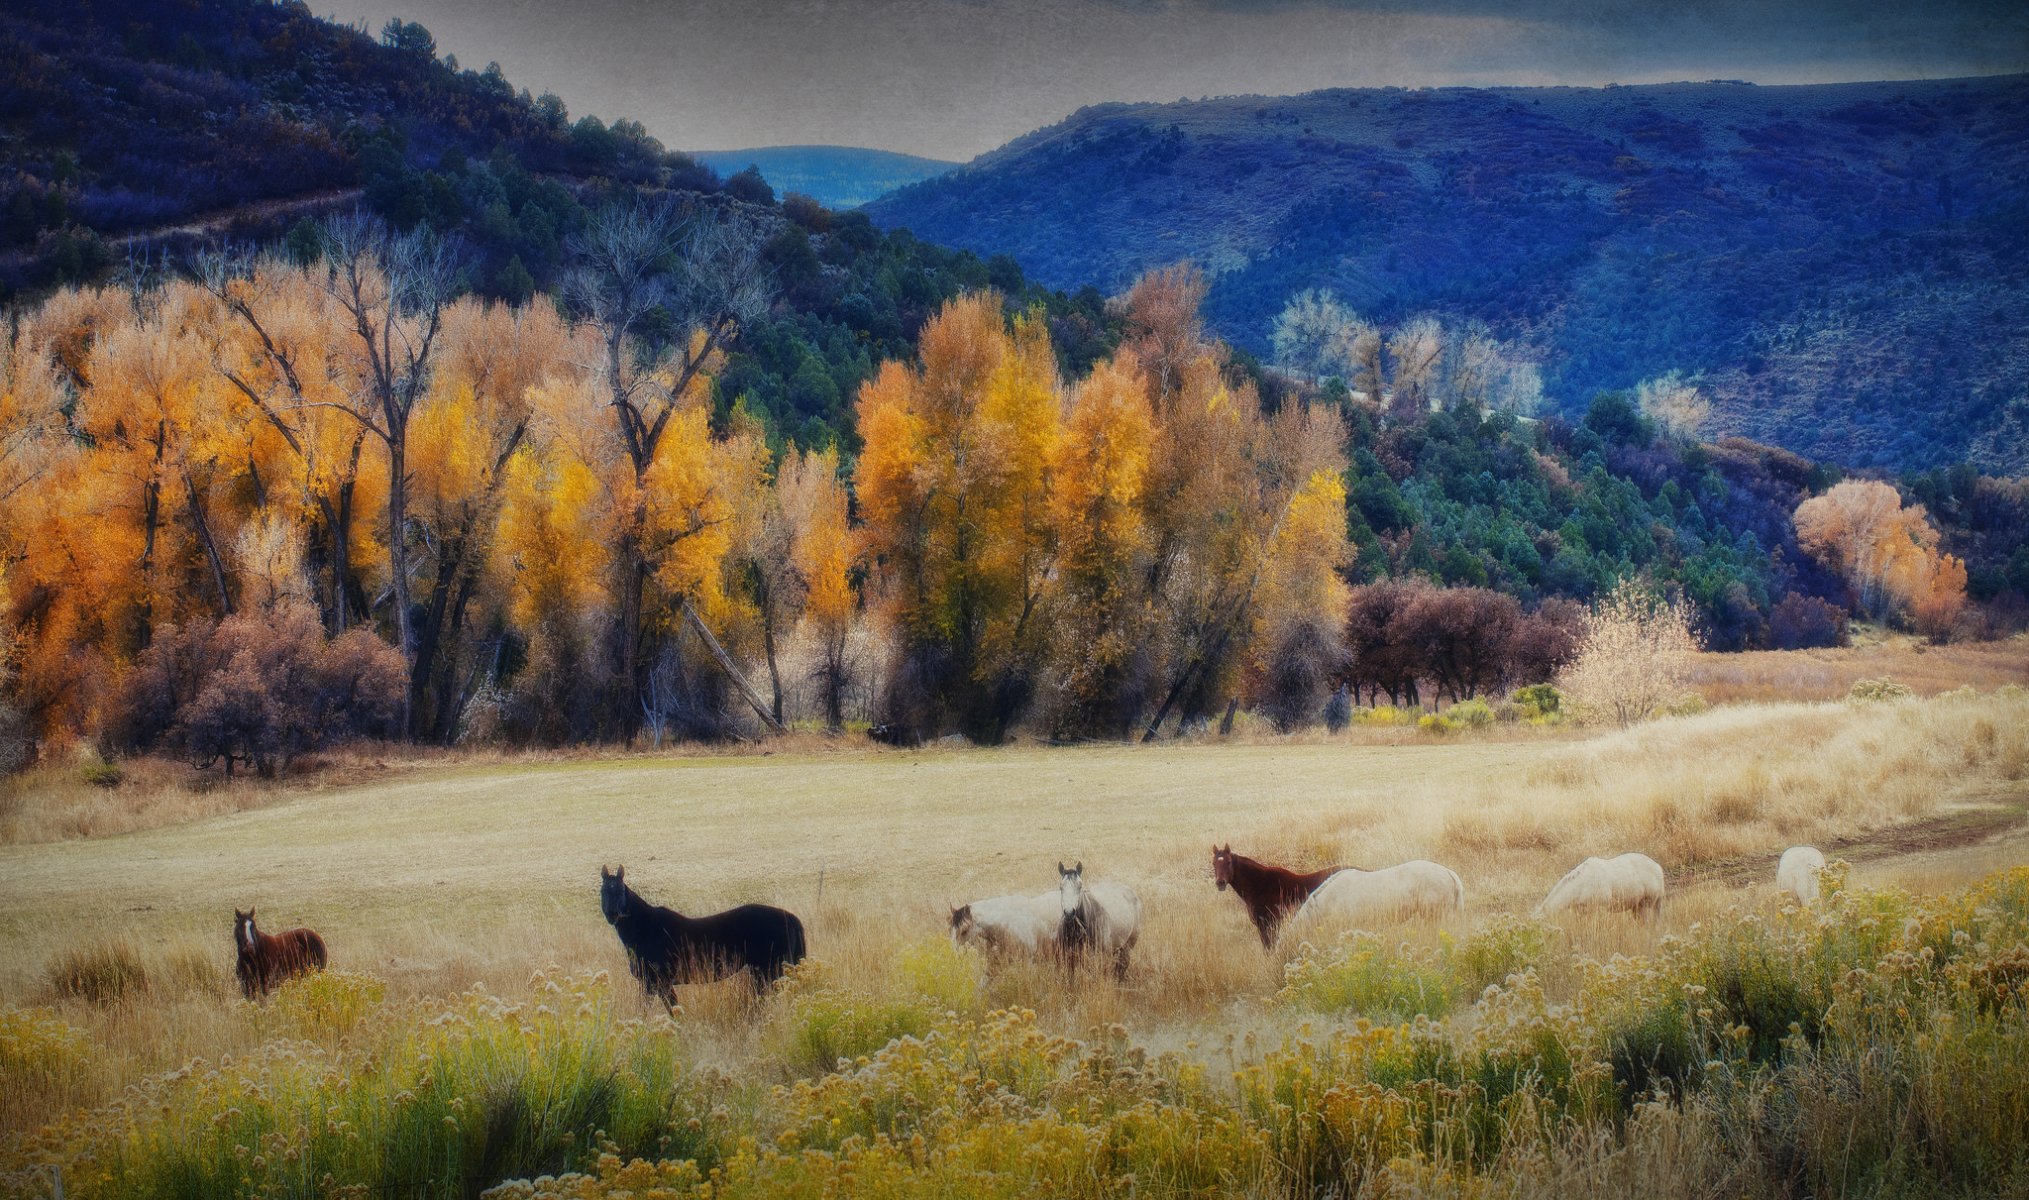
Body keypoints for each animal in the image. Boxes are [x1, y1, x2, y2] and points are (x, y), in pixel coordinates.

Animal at [596, 864, 803, 1003]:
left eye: (620, 890)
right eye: (602, 891)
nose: (612, 914)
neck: (644, 930)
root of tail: (788, 916)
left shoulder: (658, 984)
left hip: (770, 972)